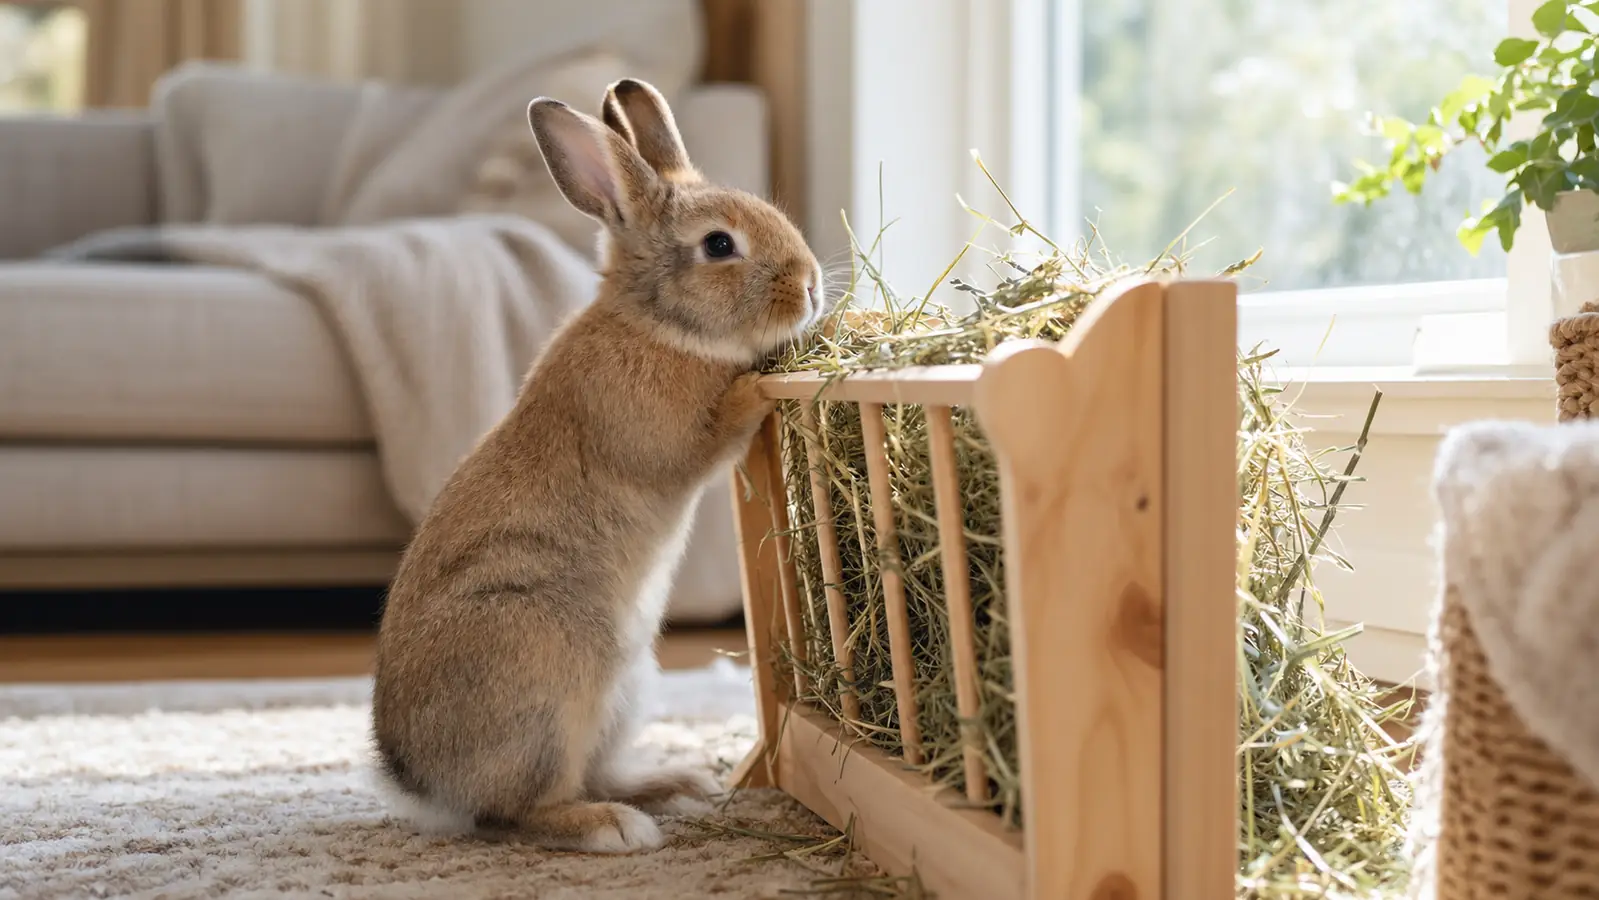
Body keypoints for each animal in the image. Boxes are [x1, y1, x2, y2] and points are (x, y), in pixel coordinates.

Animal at [368, 77, 829, 854]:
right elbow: (713, 431)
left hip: (626, 691)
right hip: (549, 681)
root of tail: (420, 782)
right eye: (718, 245)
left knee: (590, 774)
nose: (811, 285)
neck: (658, 326)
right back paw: (615, 827)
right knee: (522, 807)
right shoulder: (665, 438)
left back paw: (678, 787)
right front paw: (755, 381)